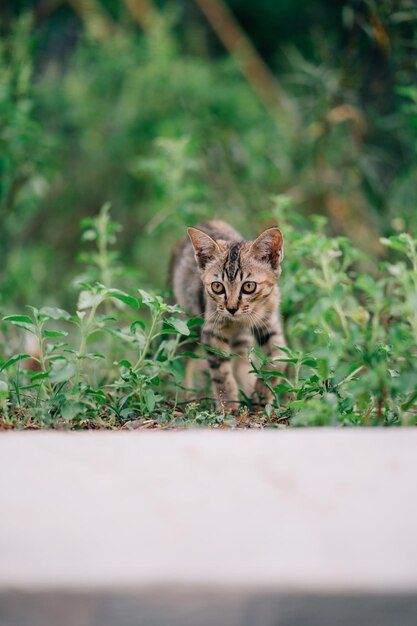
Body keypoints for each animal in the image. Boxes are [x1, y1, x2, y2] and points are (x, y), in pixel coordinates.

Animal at [170, 221, 286, 410]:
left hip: (241, 338)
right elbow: (220, 371)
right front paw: (228, 404)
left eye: (249, 286)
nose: (231, 308)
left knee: (242, 358)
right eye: (217, 286)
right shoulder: (211, 329)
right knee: (176, 357)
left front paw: (262, 394)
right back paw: (182, 395)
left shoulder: (269, 322)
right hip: (186, 326)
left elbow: (279, 357)